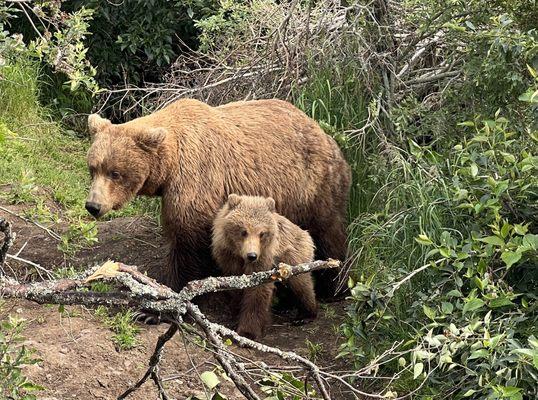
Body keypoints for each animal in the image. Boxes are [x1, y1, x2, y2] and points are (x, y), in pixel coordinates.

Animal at [85, 97, 348, 296]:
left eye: (115, 173)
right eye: (93, 168)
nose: (93, 205)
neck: (170, 163)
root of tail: (324, 133)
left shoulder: (196, 177)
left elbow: (186, 238)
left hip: (313, 185)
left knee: (328, 231)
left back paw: (333, 286)